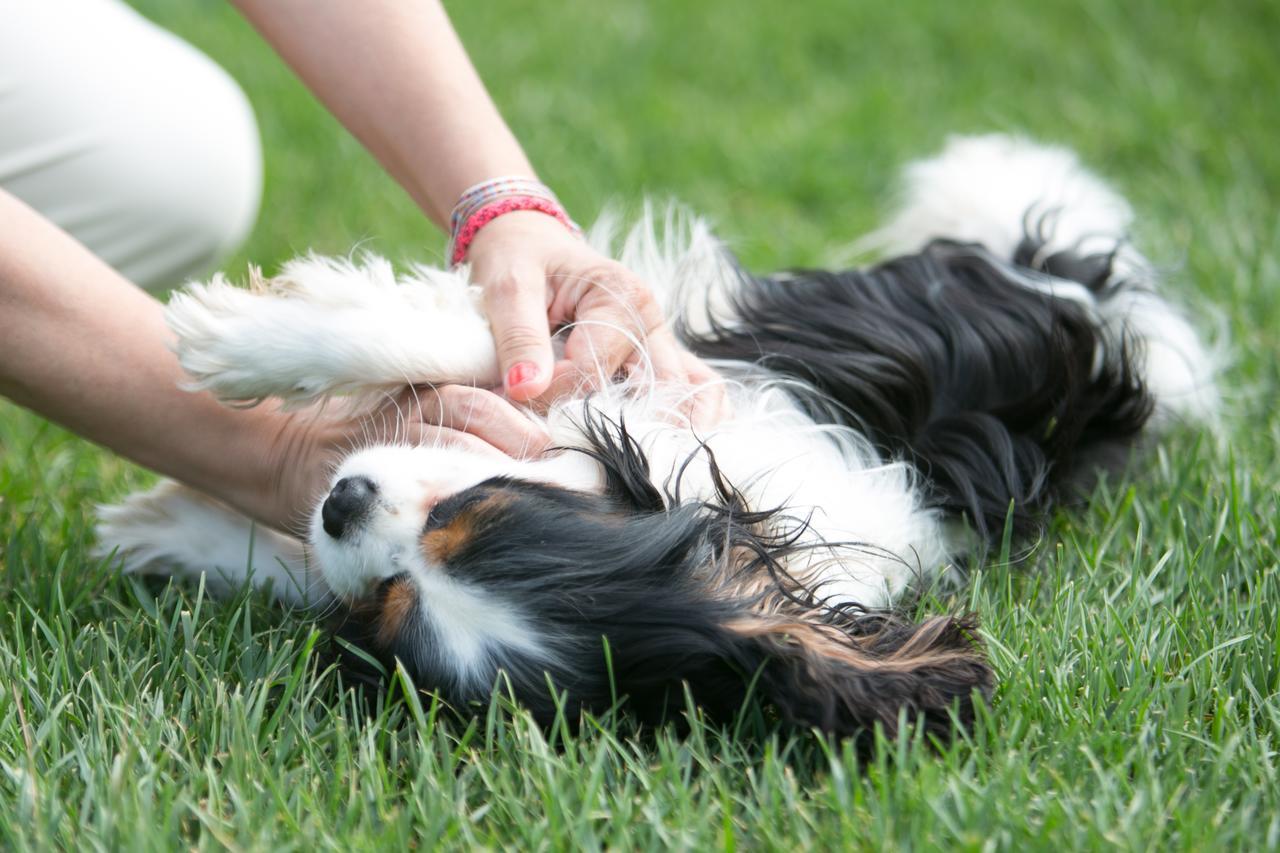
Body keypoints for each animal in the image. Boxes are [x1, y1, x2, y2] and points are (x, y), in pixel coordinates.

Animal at [94, 133, 1213, 737]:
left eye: (394, 603)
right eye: (473, 502)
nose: (342, 501)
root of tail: (1100, 323)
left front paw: (180, 523)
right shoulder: (657, 367)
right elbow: (470, 335)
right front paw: (235, 342)